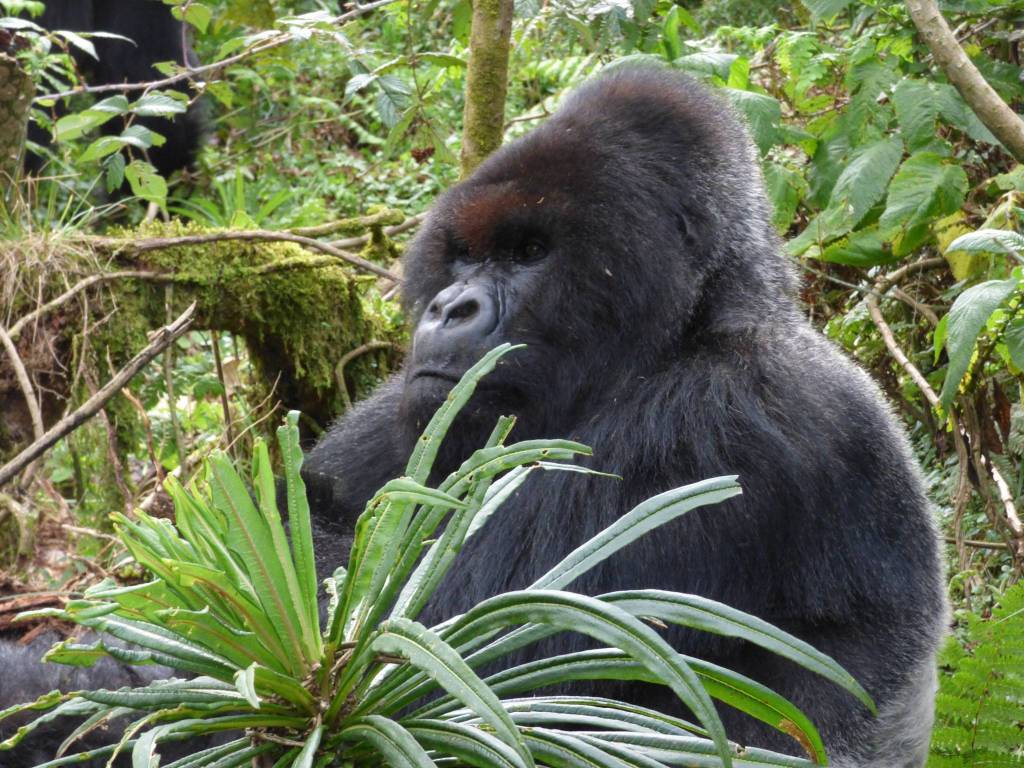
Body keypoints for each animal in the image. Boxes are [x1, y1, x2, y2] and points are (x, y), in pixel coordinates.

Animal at [299, 67, 946, 768]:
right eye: (465, 254)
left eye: (530, 252)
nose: (449, 308)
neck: (693, 325)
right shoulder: (414, 404)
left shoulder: (719, 420)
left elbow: (435, 649)